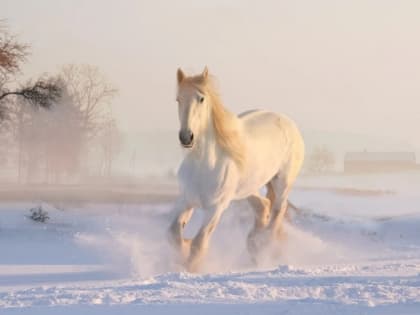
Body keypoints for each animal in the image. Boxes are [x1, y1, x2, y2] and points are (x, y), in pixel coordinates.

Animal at [169, 66, 304, 272]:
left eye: (201, 99)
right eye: (178, 99)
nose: (186, 137)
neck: (204, 164)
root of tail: (287, 122)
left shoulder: (216, 208)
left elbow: (199, 244)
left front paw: (190, 268)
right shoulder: (186, 200)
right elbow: (174, 234)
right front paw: (182, 251)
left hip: (282, 182)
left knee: (278, 211)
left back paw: (264, 246)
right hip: (248, 188)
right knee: (263, 206)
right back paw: (254, 245)